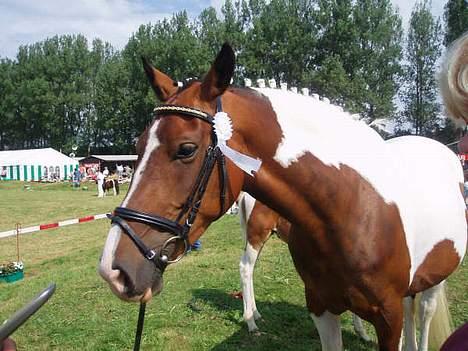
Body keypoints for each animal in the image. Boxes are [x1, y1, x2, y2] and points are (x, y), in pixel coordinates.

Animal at [99, 36, 468, 351]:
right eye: (138, 146)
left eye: (186, 149)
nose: (113, 270)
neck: (353, 209)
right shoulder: (321, 307)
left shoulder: (388, 318)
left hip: (434, 279)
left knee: (422, 314)